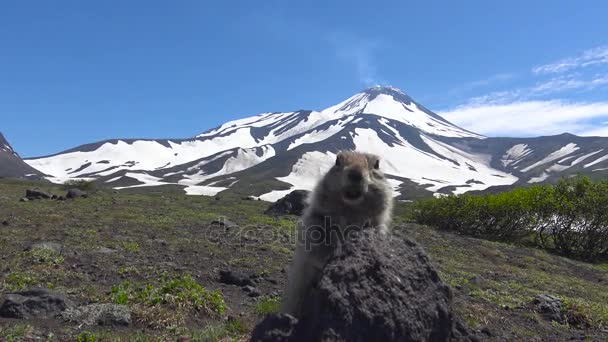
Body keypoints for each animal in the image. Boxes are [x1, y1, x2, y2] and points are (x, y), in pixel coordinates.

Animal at [282, 151, 394, 316]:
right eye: (337, 161)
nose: (355, 173)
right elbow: (316, 252)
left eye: (377, 164)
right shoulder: (316, 226)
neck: (350, 213)